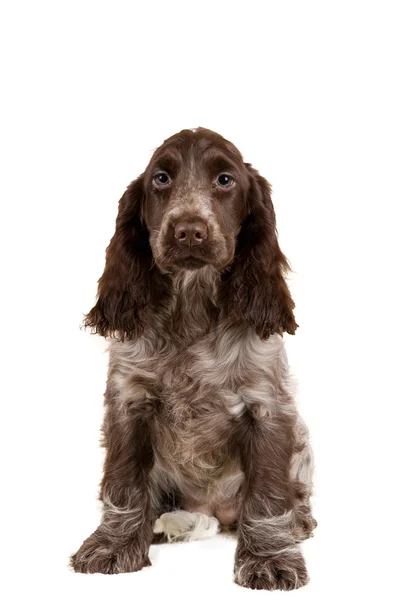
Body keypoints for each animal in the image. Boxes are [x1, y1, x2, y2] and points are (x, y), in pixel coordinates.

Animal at [71, 127, 316, 592]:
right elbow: (124, 483)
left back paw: (297, 523)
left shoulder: (269, 407)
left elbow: (267, 494)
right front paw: (114, 546)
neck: (193, 307)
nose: (188, 231)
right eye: (161, 179)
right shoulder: (128, 403)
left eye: (225, 180)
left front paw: (270, 558)